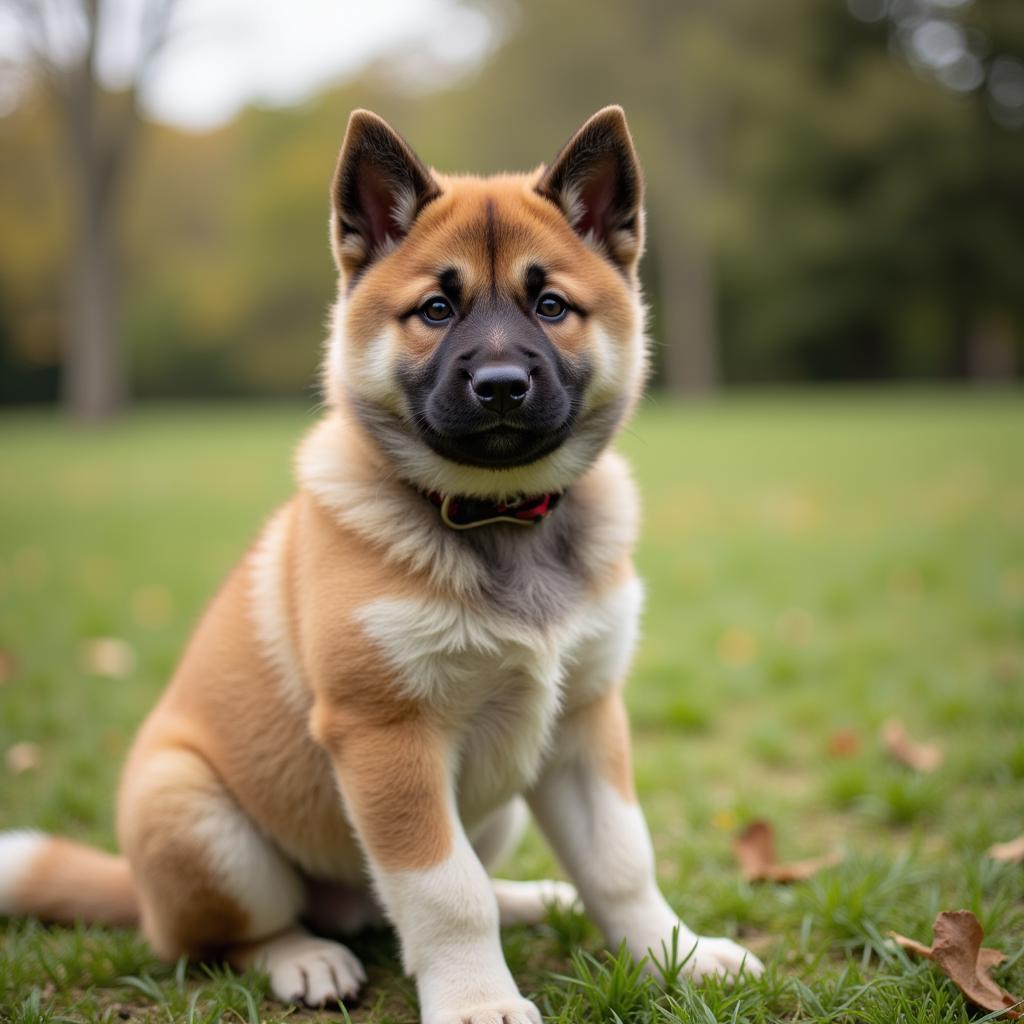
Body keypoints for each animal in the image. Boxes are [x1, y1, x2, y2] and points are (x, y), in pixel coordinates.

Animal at [0, 108, 761, 1019]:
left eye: (551, 306)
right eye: (435, 309)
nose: (500, 385)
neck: (496, 516)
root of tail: (140, 893)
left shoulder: (584, 721)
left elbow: (620, 859)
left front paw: (675, 955)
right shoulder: (387, 739)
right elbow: (444, 891)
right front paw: (478, 1001)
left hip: (499, 807)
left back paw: (538, 899)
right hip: (201, 824)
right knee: (222, 939)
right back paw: (304, 958)